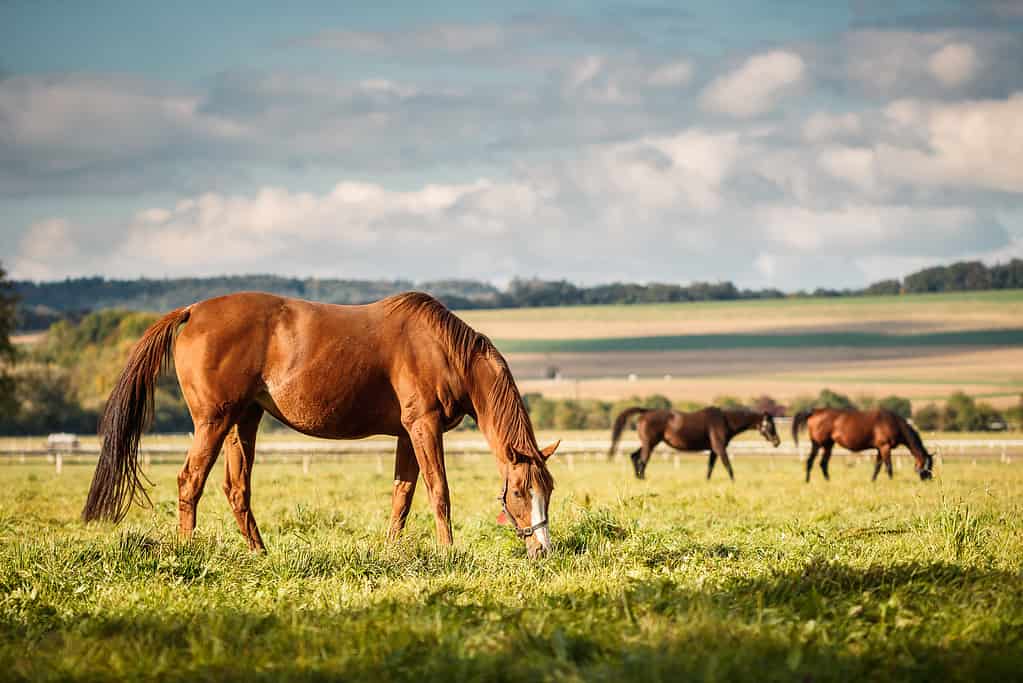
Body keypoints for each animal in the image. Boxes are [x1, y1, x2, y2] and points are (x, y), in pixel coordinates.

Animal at [79, 290, 560, 556]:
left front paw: (392, 552)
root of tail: (193, 311)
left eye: (549, 491)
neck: (442, 349)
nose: (542, 550)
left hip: (242, 422)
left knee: (236, 490)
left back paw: (260, 553)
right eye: (520, 492)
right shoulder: (423, 427)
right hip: (213, 422)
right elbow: (437, 491)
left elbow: (402, 496)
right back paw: (187, 551)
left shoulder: (408, 434)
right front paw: (448, 553)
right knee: (190, 481)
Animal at [605, 404, 773, 480]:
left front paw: (707, 481)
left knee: (635, 456)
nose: (776, 441)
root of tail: (646, 411)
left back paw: (639, 477)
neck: (725, 421)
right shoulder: (719, 447)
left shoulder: (713, 449)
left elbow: (710, 466)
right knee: (642, 460)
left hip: (650, 442)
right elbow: (727, 464)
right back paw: (642, 478)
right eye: (770, 424)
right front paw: (733, 481)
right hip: (650, 442)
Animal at [789, 408, 937, 482]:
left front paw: (873, 480)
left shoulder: (879, 448)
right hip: (818, 443)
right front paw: (891, 481)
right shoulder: (885, 447)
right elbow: (888, 466)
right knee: (811, 461)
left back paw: (827, 480)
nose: (928, 479)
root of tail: (814, 411)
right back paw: (808, 481)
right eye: (927, 465)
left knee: (822, 463)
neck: (894, 423)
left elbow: (878, 466)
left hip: (828, 445)